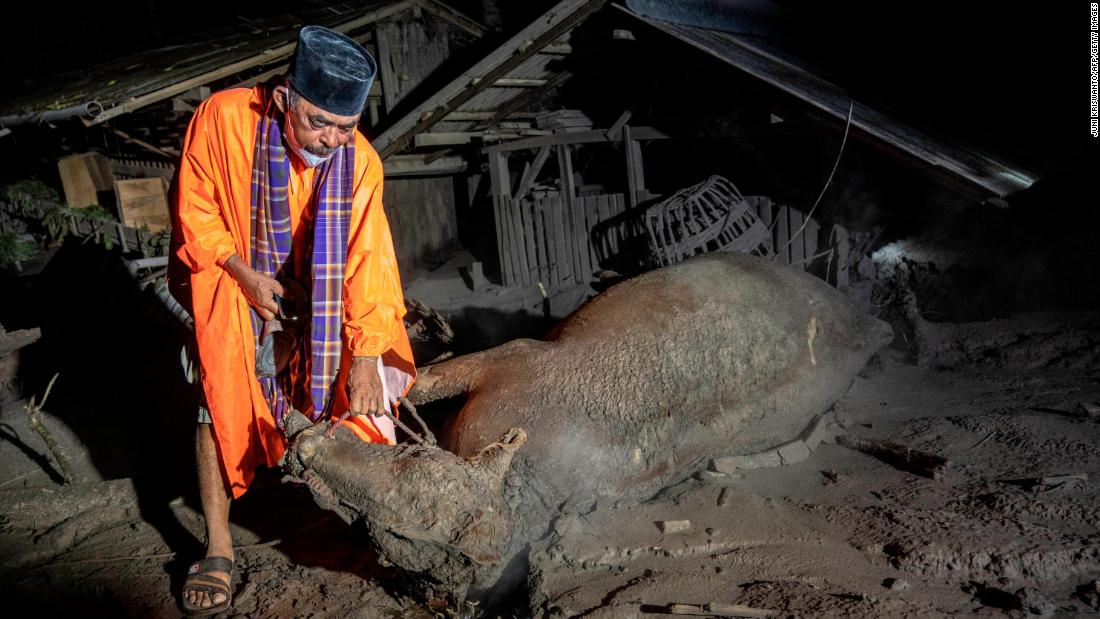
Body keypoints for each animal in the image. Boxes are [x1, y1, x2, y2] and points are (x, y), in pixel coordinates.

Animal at [279, 251, 888, 602]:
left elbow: (430, 378)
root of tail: (865, 323)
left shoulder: (518, 360)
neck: (527, 484)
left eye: (411, 520)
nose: (303, 447)